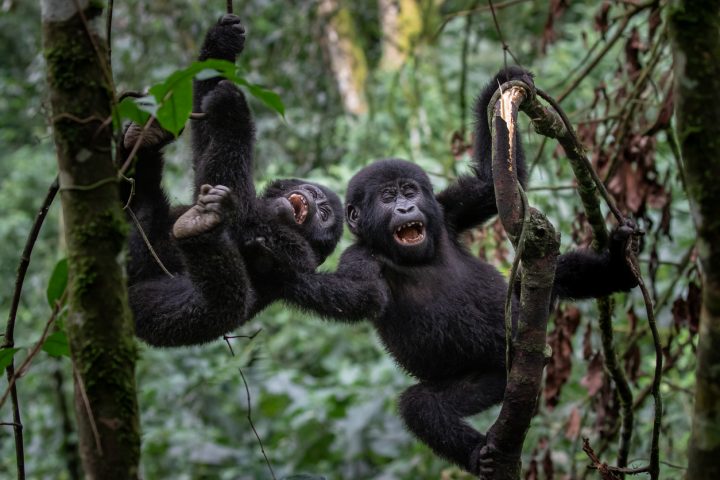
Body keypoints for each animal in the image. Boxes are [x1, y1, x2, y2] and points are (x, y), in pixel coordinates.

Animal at [119, 14, 342, 344]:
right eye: (313, 192)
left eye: (325, 214)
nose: (315, 200)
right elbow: (205, 147)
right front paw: (221, 42)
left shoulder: (298, 252)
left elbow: (240, 213)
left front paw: (235, 111)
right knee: (138, 208)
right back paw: (143, 140)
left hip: (147, 315)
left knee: (215, 307)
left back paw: (200, 234)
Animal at [278, 66, 640, 472]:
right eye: (387, 198)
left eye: (410, 191)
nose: (405, 208)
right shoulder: (361, 257)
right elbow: (359, 295)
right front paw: (281, 269)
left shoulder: (447, 210)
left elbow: (489, 185)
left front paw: (499, 86)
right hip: (492, 378)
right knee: (422, 406)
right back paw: (478, 454)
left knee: (553, 276)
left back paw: (618, 267)